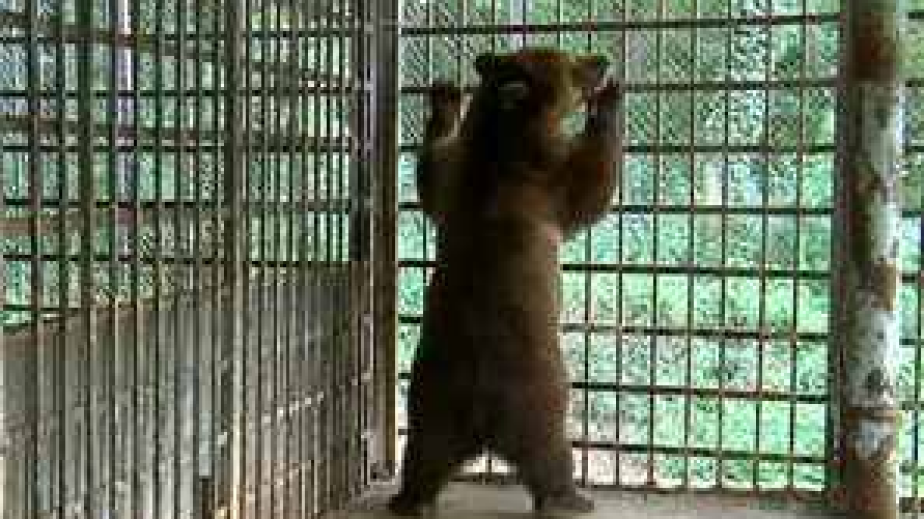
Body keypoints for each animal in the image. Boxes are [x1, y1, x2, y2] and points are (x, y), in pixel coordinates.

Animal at [389, 47, 623, 517]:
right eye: (572, 64)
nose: (602, 59)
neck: (500, 145)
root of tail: (484, 423)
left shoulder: (458, 177)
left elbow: (431, 172)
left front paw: (444, 94)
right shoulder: (544, 180)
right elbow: (591, 184)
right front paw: (609, 102)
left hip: (432, 399)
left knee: (423, 453)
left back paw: (409, 500)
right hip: (538, 398)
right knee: (551, 454)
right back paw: (573, 498)